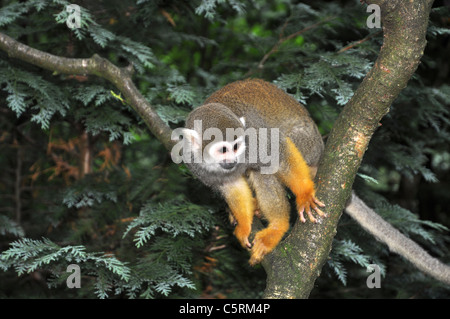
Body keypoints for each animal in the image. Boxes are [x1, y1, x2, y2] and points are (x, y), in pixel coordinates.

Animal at [178, 79, 326, 266]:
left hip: (306, 143)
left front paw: (305, 195)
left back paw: (277, 227)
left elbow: (278, 151)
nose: (233, 160)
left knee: (263, 169)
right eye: (223, 150)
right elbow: (231, 185)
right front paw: (244, 225)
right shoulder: (193, 162)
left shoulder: (253, 137)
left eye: (236, 146)